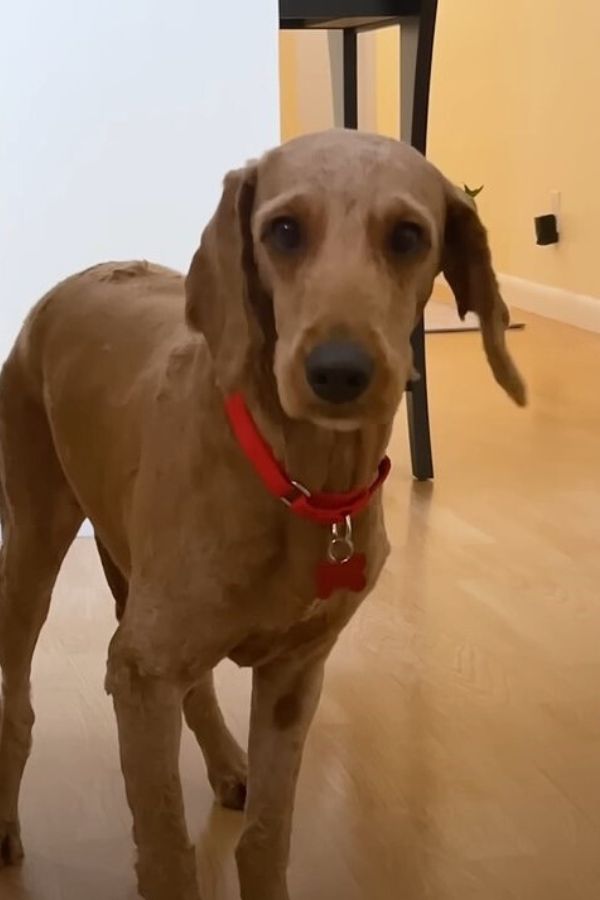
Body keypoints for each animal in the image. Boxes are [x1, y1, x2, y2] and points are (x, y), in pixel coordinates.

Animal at [0, 128, 524, 900]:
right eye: (283, 230)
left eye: (407, 236)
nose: (338, 372)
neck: (303, 481)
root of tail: (73, 280)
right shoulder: (140, 673)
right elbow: (167, 852)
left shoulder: (293, 678)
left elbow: (265, 839)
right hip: (33, 549)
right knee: (19, 702)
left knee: (195, 689)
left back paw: (226, 764)